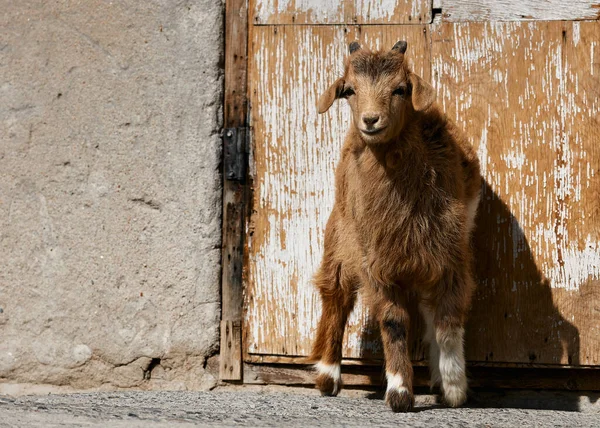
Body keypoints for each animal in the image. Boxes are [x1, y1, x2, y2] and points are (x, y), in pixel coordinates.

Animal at [312, 41, 480, 412]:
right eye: (349, 91)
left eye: (401, 89)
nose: (370, 120)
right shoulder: (376, 260)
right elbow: (394, 321)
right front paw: (401, 391)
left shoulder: (450, 254)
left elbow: (448, 320)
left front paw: (454, 388)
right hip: (340, 234)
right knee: (336, 294)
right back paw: (328, 376)